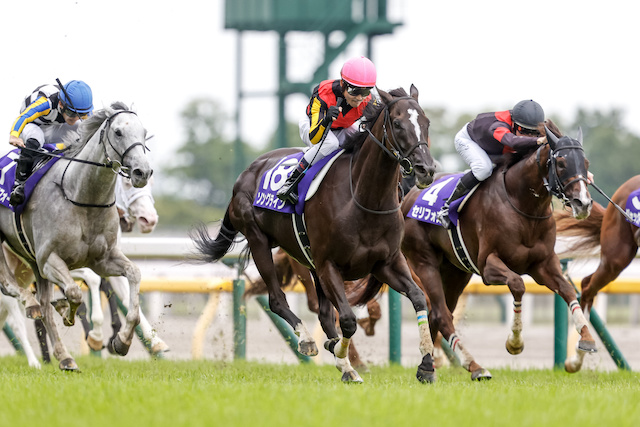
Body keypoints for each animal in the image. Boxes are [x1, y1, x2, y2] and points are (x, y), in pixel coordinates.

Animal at [0, 103, 152, 372]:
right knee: (9, 285)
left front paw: (121, 341)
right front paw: (74, 318)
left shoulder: (102, 259)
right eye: (118, 132)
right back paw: (31, 305)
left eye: (143, 133)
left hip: (31, 261)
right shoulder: (51, 259)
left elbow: (133, 275)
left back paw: (65, 357)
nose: (142, 172)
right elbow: (74, 292)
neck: (83, 196)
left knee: (40, 303)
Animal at [191, 85, 440, 382]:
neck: (363, 199)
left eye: (426, 123)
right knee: (278, 300)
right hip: (261, 240)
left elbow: (418, 297)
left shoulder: (386, 263)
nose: (427, 169)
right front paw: (345, 360)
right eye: (398, 124)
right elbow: (348, 320)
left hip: (308, 261)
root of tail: (246, 173)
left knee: (323, 313)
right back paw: (310, 341)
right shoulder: (328, 264)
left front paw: (426, 365)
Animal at [358, 124, 596, 382]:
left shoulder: (543, 264)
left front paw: (587, 338)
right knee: (441, 314)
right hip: (424, 261)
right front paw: (514, 342)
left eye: (586, 163)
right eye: (561, 162)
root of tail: (406, 199)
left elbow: (567, 290)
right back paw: (474, 366)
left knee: (438, 313)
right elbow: (517, 285)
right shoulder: (488, 266)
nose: (583, 203)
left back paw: (427, 368)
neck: (523, 206)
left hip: (455, 272)